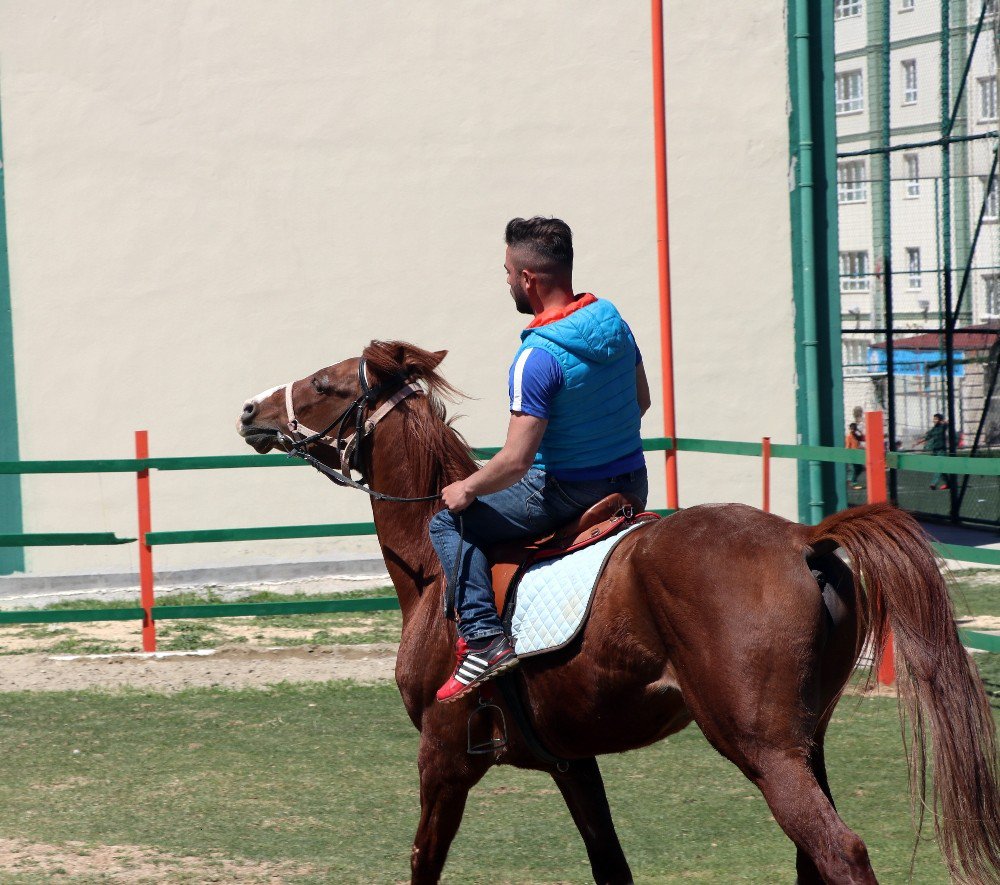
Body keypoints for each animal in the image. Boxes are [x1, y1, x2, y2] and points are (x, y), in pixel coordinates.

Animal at [240, 340, 1000, 884]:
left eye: (327, 384)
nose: (252, 410)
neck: (432, 566)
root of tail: (801, 537)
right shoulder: (573, 762)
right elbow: (610, 865)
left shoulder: (443, 755)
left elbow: (424, 863)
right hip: (807, 743)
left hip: (764, 747)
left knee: (839, 851)